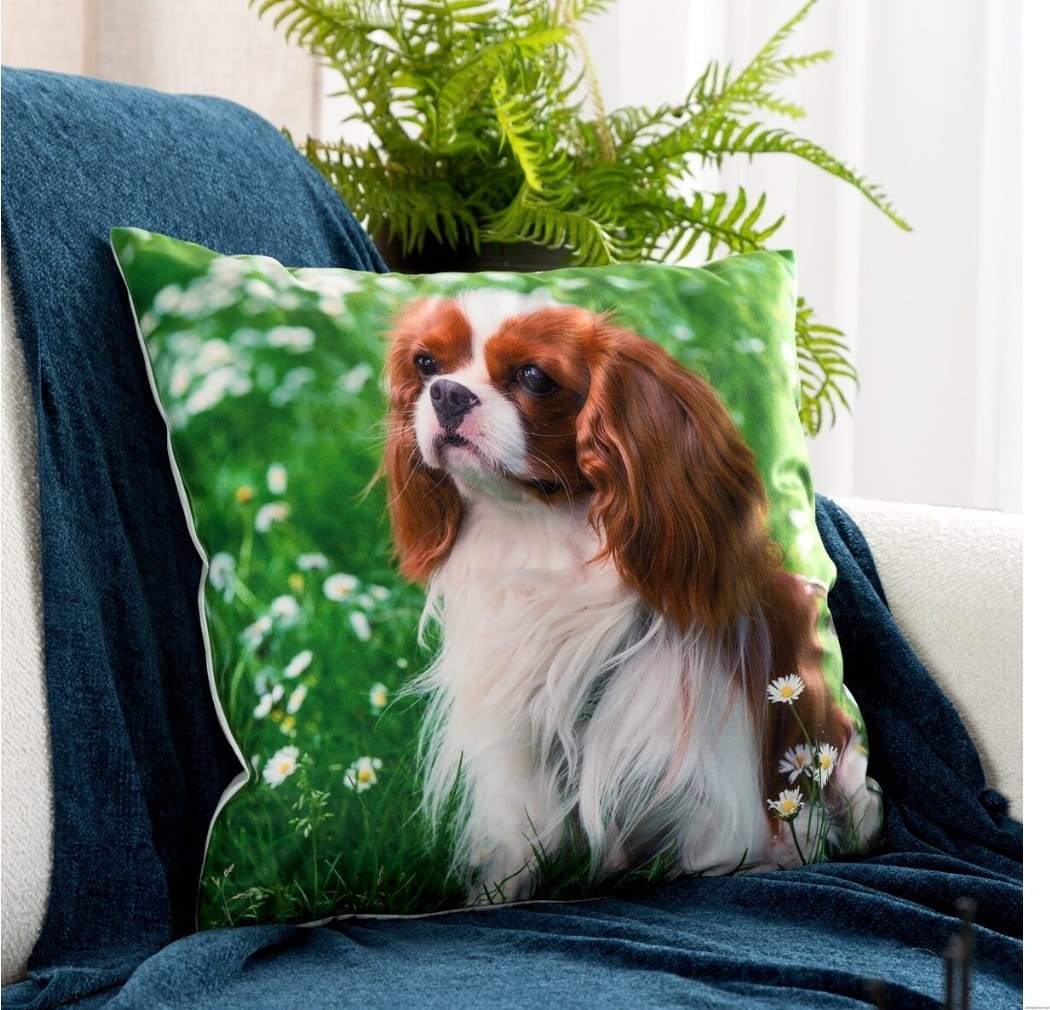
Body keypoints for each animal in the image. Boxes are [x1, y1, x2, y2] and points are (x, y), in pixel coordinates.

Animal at [383, 288, 881, 902]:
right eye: (426, 364)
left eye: (534, 377)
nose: (448, 392)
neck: (539, 534)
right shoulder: (518, 761)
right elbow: (512, 854)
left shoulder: (706, 786)